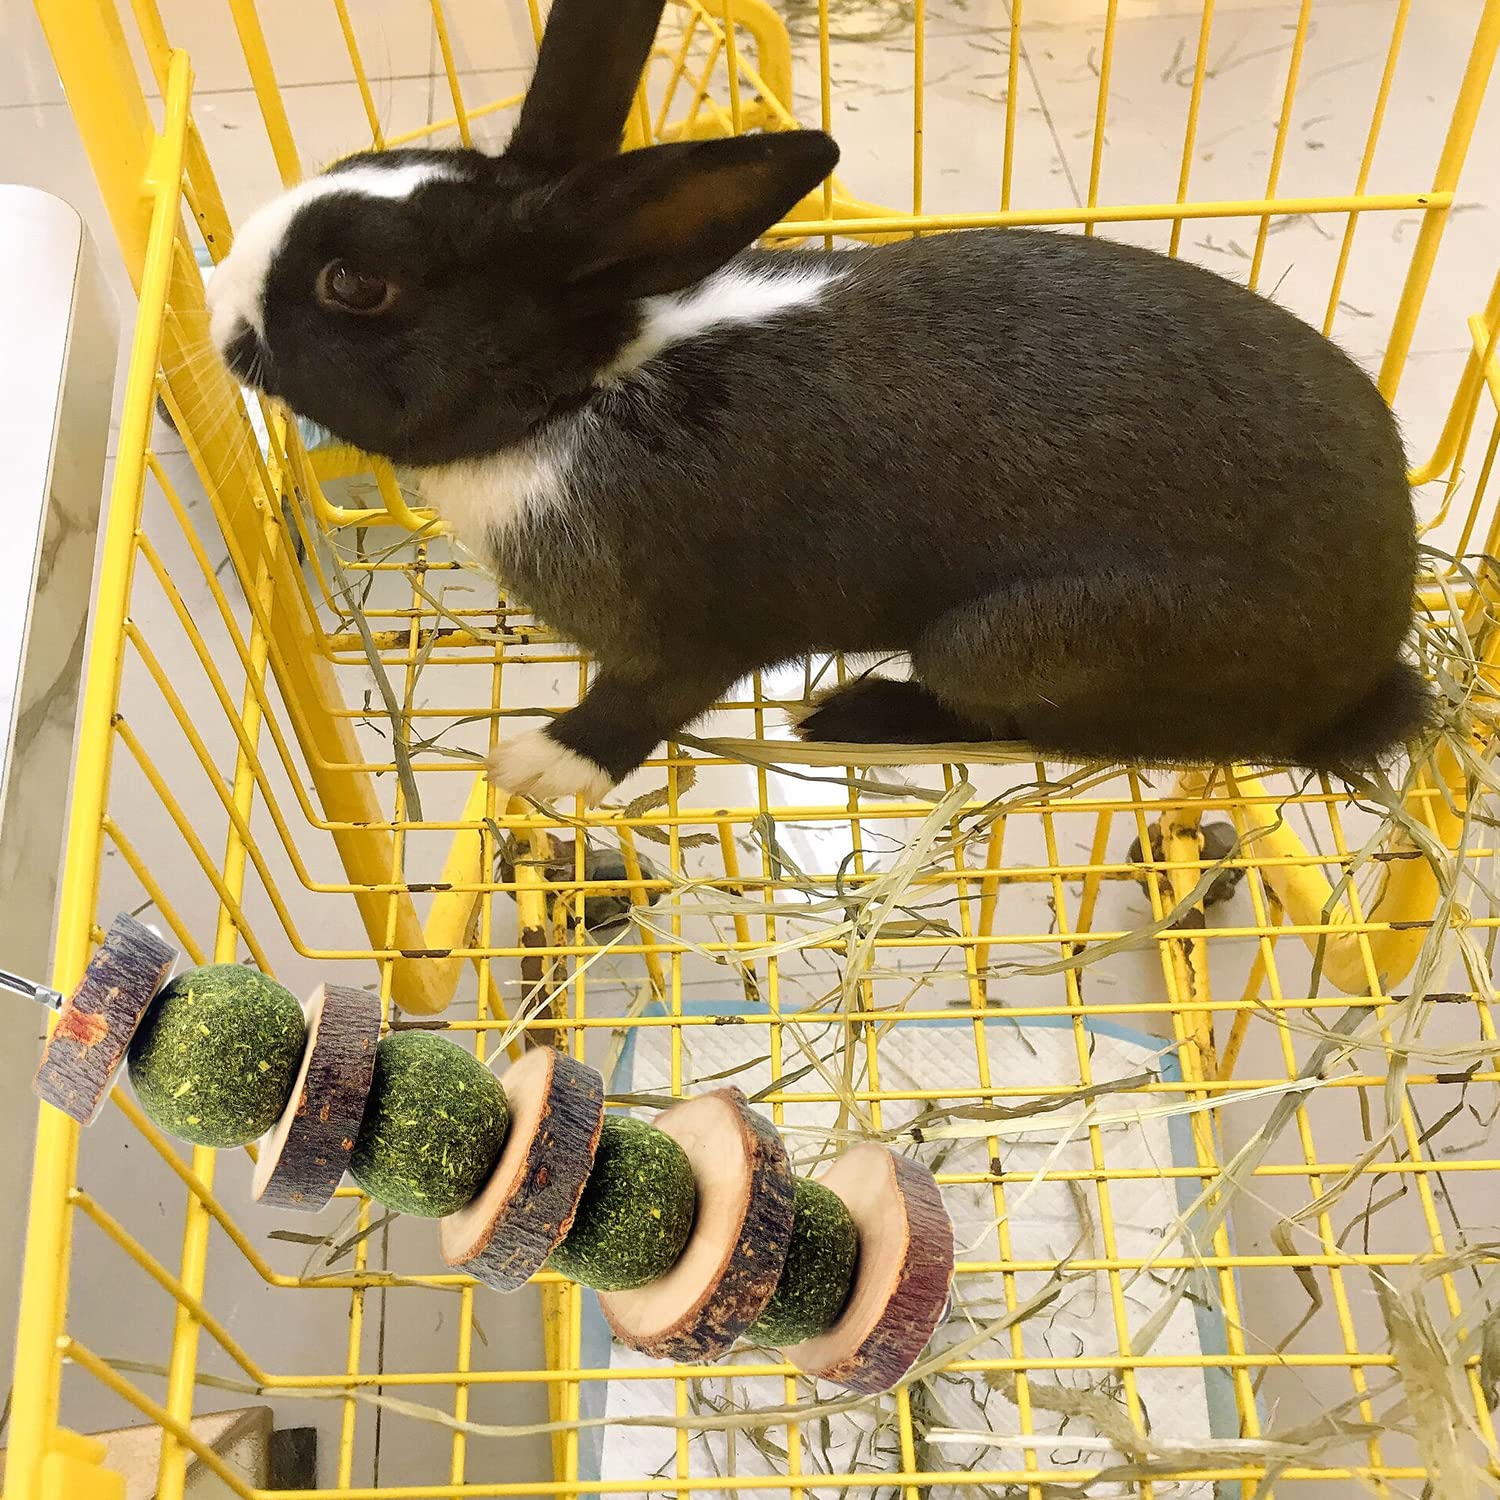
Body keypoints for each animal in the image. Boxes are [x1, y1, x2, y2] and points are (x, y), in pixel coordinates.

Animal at [207, 0, 1430, 806]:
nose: (214, 296)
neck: (577, 396)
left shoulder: (684, 636)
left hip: (1011, 641)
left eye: (354, 285)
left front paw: (539, 769)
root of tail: (1371, 674)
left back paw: (860, 713)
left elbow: (636, 707)